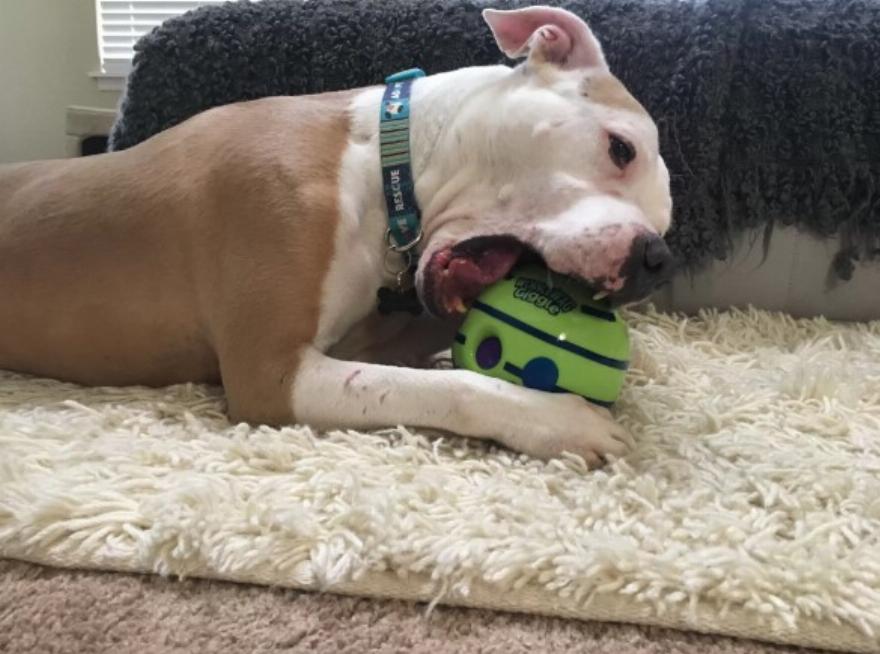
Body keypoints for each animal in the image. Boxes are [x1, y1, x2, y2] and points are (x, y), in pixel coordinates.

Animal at [0, 6, 673, 465]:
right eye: (621, 148)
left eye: (667, 225)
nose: (656, 257)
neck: (381, 162)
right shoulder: (272, 374)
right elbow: (449, 385)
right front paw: (558, 418)